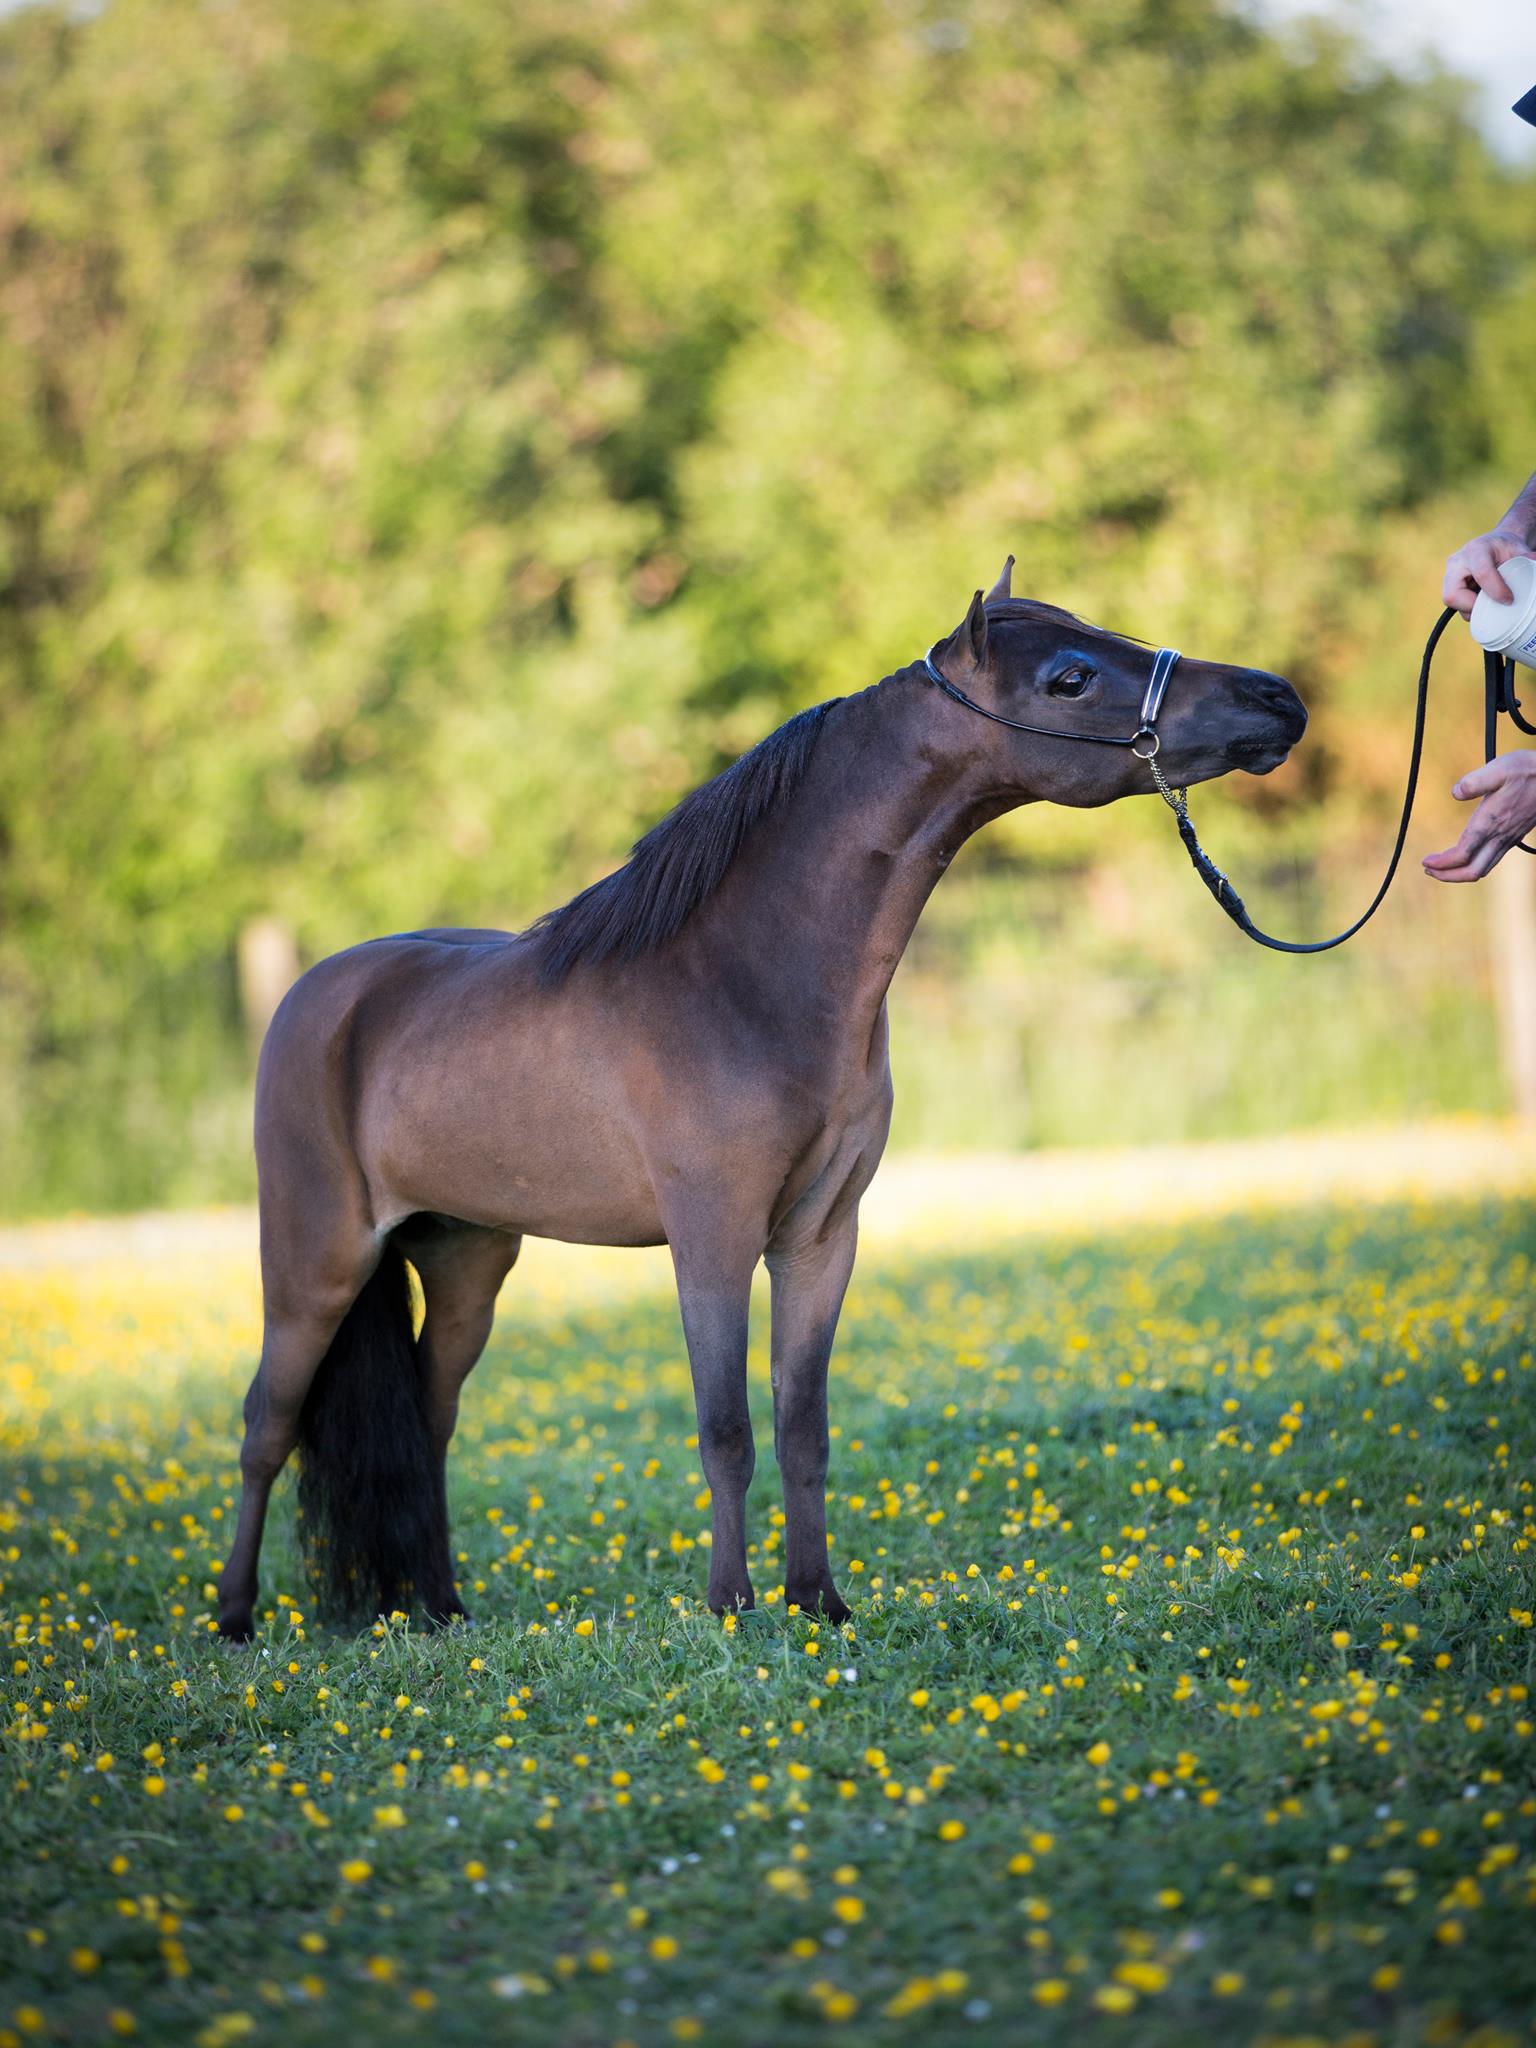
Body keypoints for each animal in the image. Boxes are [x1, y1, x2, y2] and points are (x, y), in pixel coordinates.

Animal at [215, 562, 1307, 1639]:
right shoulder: (714, 1236)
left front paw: (817, 1599)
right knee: (267, 1421)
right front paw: (732, 1605)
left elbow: (801, 1423)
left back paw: (441, 1607)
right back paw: (233, 1617)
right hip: (315, 1259)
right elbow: (727, 1427)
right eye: (1071, 677)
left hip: (466, 1260)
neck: (746, 978)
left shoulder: (820, 1239)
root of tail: (318, 995)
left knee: (431, 1419)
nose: (1277, 700)